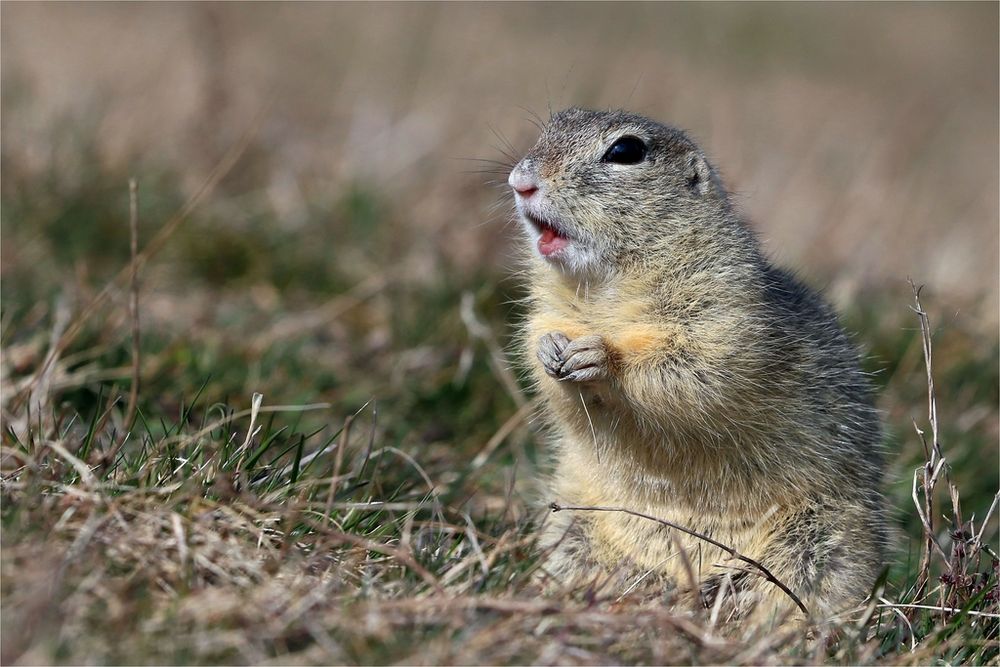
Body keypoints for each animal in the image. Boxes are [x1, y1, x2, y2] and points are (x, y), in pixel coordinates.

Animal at [512, 107, 888, 624]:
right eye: (552, 125)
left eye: (625, 151)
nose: (520, 182)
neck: (603, 293)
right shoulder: (546, 310)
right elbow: (546, 362)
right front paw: (550, 350)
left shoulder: (725, 312)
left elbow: (696, 369)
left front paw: (601, 356)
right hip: (573, 529)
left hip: (819, 544)